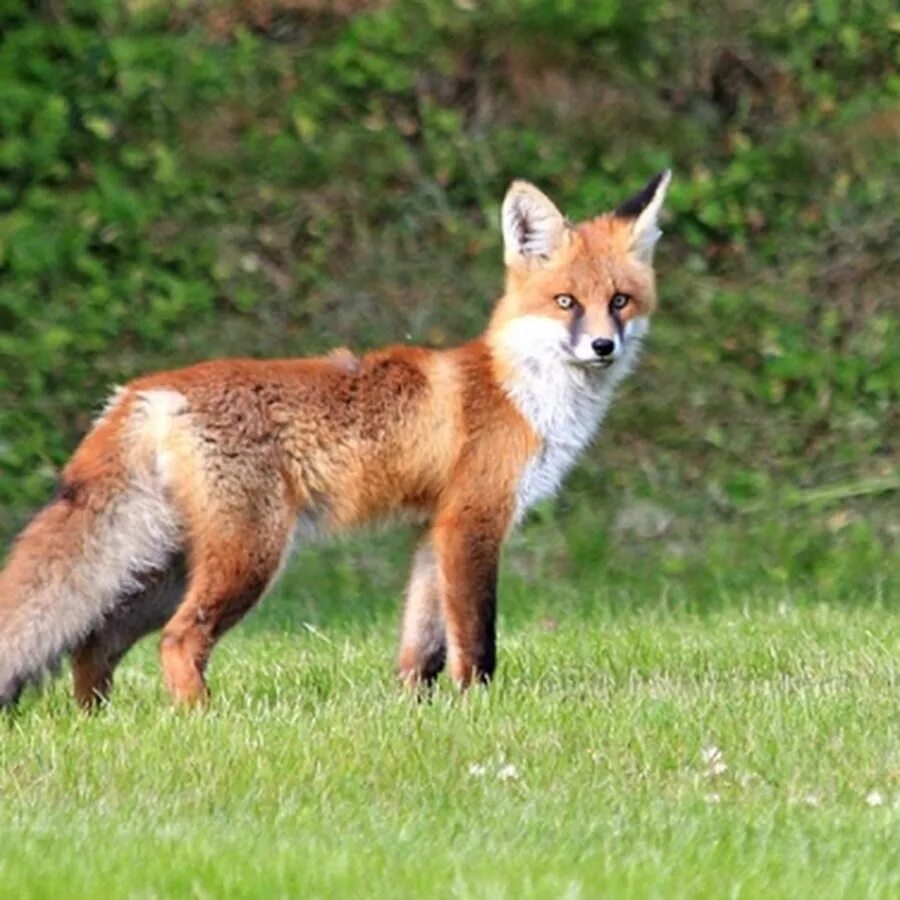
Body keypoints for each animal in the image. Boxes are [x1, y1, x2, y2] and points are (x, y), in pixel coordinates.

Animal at [0, 172, 668, 712]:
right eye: (566, 303)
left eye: (619, 301)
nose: (603, 346)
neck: (519, 389)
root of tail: (145, 389)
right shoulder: (472, 520)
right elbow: (475, 640)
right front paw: (479, 708)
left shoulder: (431, 529)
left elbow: (419, 647)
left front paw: (418, 713)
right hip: (248, 557)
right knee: (177, 639)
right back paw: (202, 719)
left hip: (165, 569)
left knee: (93, 642)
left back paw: (99, 719)